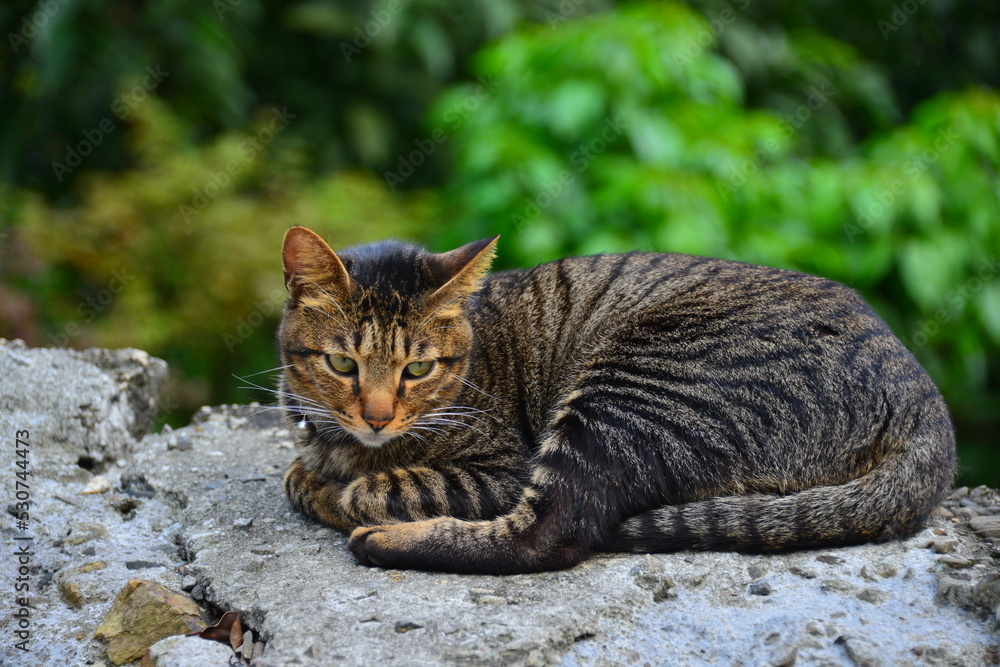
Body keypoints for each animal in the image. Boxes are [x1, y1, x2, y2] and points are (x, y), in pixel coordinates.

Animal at [278, 224, 956, 576]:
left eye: (416, 368)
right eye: (342, 363)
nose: (377, 416)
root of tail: (924, 396)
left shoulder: (502, 468)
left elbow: (373, 488)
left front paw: (332, 488)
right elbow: (305, 470)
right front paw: (315, 469)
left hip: (627, 394)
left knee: (552, 533)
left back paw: (382, 541)